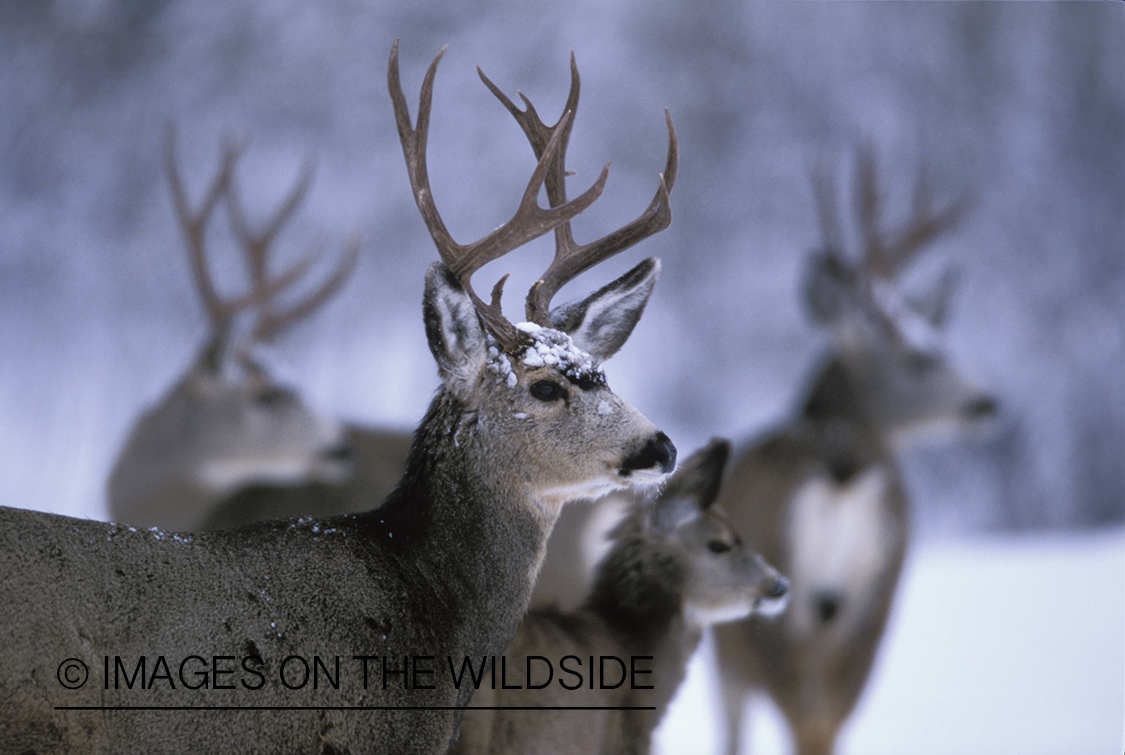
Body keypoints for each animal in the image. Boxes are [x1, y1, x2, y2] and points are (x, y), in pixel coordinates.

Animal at [711, 150, 994, 755]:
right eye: (923, 356)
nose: (988, 402)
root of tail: (842, 473)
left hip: (780, 607)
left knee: (805, 714)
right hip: (873, 605)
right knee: (824, 717)